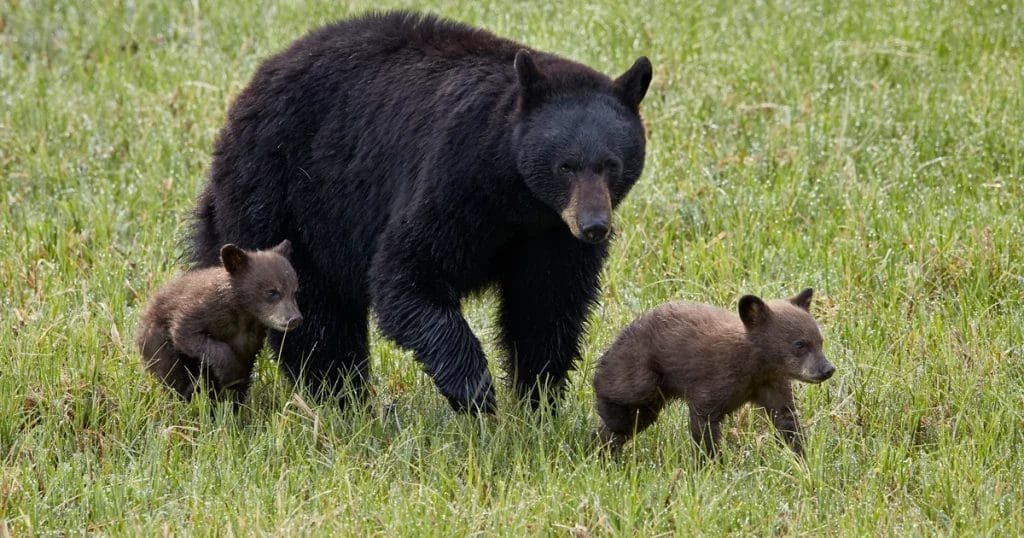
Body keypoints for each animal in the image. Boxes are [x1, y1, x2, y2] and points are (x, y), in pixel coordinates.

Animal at [136, 240, 302, 406]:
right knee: (172, 371)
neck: (244, 314)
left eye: (294, 292)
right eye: (272, 292)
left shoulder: (252, 338)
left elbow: (245, 368)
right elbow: (186, 334)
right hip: (156, 340)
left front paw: (235, 402)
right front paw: (229, 373)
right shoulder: (201, 309)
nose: (295, 319)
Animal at [186, 11, 653, 412]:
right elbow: (408, 273)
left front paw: (539, 400)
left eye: (611, 165)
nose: (594, 226)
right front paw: (476, 391)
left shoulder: (551, 236)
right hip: (284, 195)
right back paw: (341, 396)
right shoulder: (454, 179)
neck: (519, 199)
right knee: (317, 313)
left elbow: (547, 305)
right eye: (565, 166)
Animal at [592, 288, 835, 457]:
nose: (828, 369)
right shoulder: (715, 379)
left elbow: (786, 419)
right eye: (800, 344)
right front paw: (711, 463)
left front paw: (802, 456)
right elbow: (704, 420)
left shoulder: (772, 384)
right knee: (622, 398)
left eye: (820, 341)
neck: (755, 366)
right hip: (641, 369)